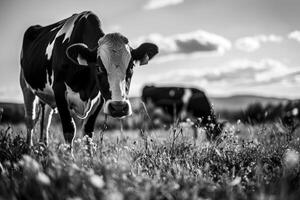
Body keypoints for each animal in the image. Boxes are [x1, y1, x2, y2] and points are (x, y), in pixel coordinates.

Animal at [19, 11, 159, 148]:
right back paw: (29, 148)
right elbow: (69, 130)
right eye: (98, 67)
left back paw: (44, 146)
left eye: (131, 67)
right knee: (30, 120)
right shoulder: (59, 89)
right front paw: (69, 156)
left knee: (46, 119)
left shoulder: (99, 98)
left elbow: (88, 132)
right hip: (26, 88)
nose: (119, 107)